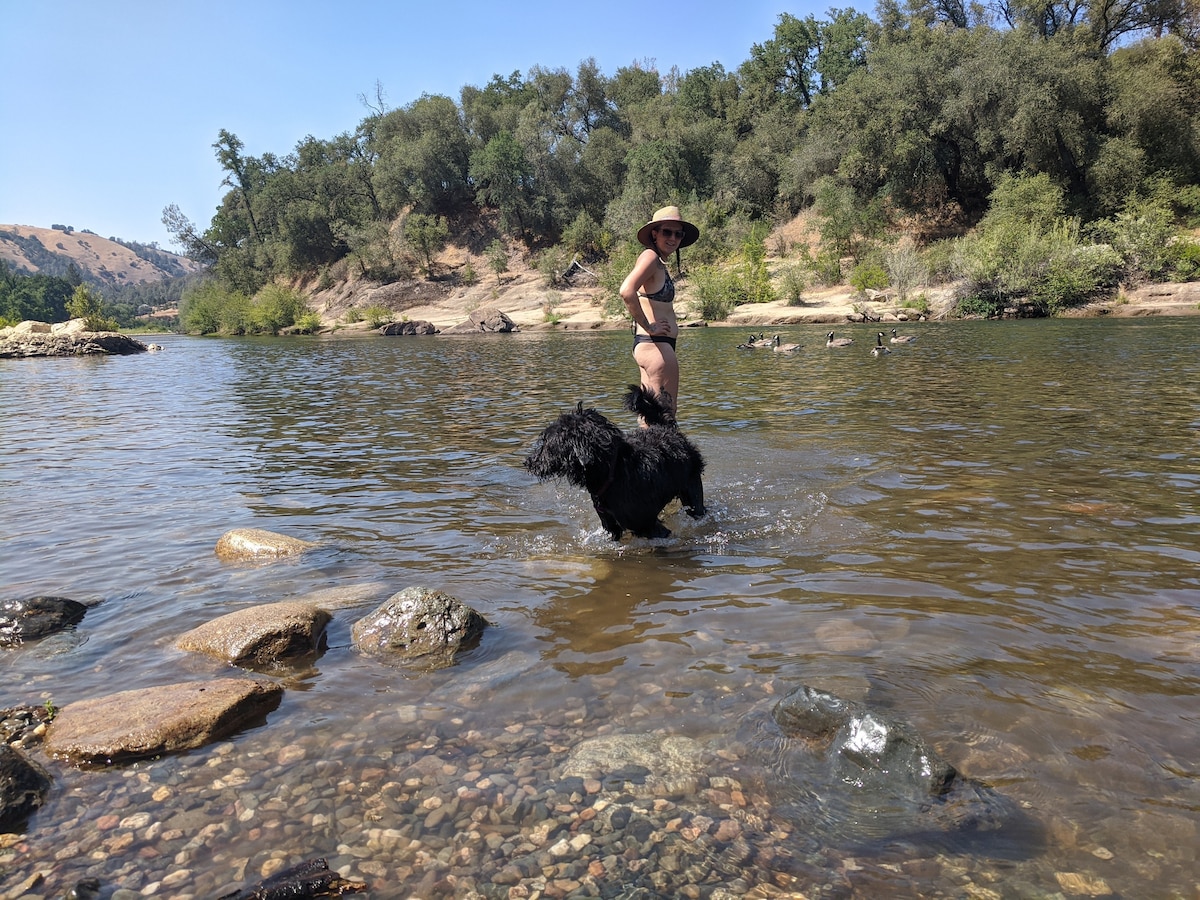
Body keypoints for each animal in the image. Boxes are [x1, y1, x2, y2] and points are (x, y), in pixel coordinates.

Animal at [523, 384, 700, 540]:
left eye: (547, 444)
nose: (528, 462)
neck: (613, 472)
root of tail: (667, 429)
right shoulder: (611, 525)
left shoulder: (650, 526)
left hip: (693, 493)